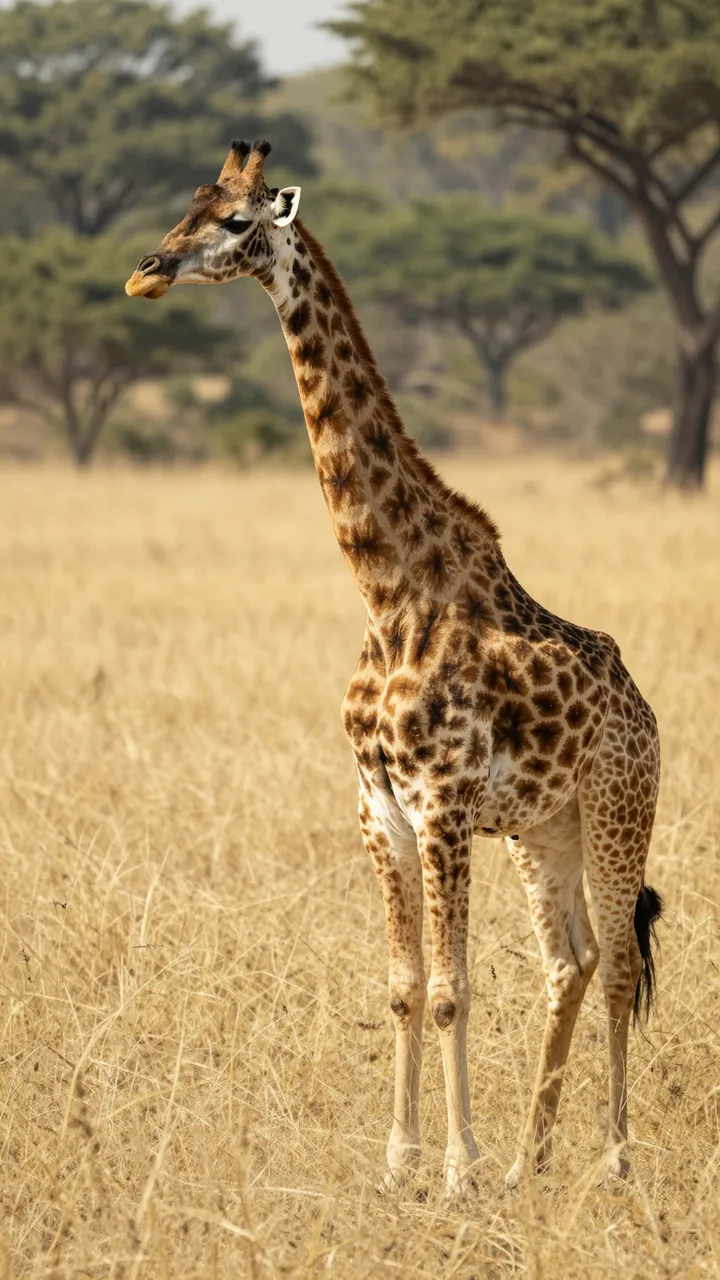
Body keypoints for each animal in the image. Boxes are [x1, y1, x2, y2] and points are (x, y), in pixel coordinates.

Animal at [126, 140, 663, 1200]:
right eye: (186, 204)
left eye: (237, 221)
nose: (147, 271)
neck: (387, 593)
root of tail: (647, 712)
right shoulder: (379, 809)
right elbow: (406, 988)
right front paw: (401, 1163)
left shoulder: (443, 805)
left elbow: (455, 992)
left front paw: (455, 1170)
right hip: (545, 831)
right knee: (571, 962)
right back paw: (532, 1159)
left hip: (620, 810)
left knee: (621, 961)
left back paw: (614, 1159)